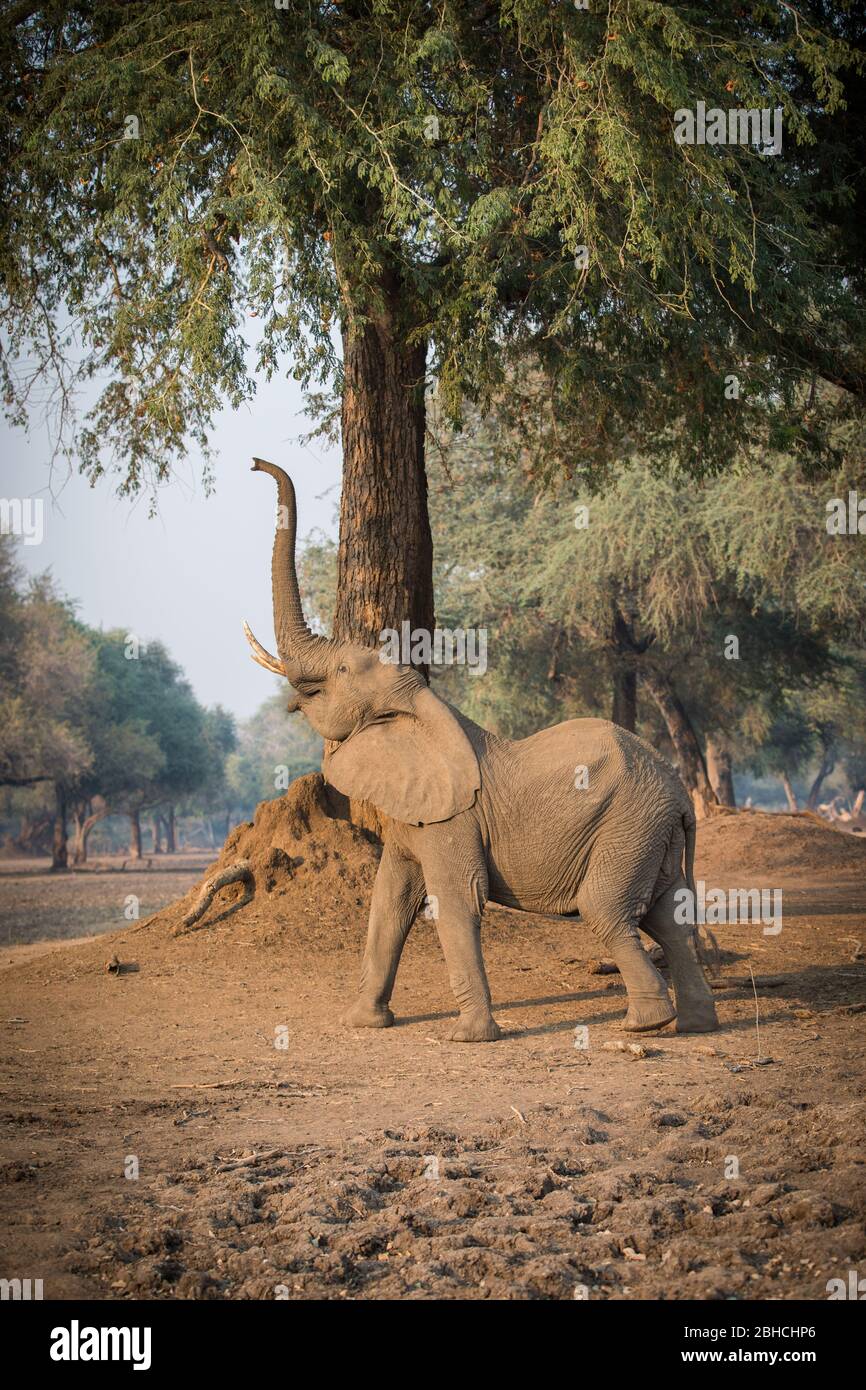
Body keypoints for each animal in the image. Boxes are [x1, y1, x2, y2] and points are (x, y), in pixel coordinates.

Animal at [244, 458, 717, 1045]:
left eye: (342, 671)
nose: (254, 463)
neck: (420, 703)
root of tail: (678, 793)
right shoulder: (417, 815)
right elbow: (389, 902)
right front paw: (362, 1023)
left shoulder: (454, 819)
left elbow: (453, 901)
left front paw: (466, 1037)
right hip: (651, 829)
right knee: (667, 914)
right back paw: (696, 1025)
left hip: (629, 823)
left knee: (606, 909)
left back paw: (644, 1025)